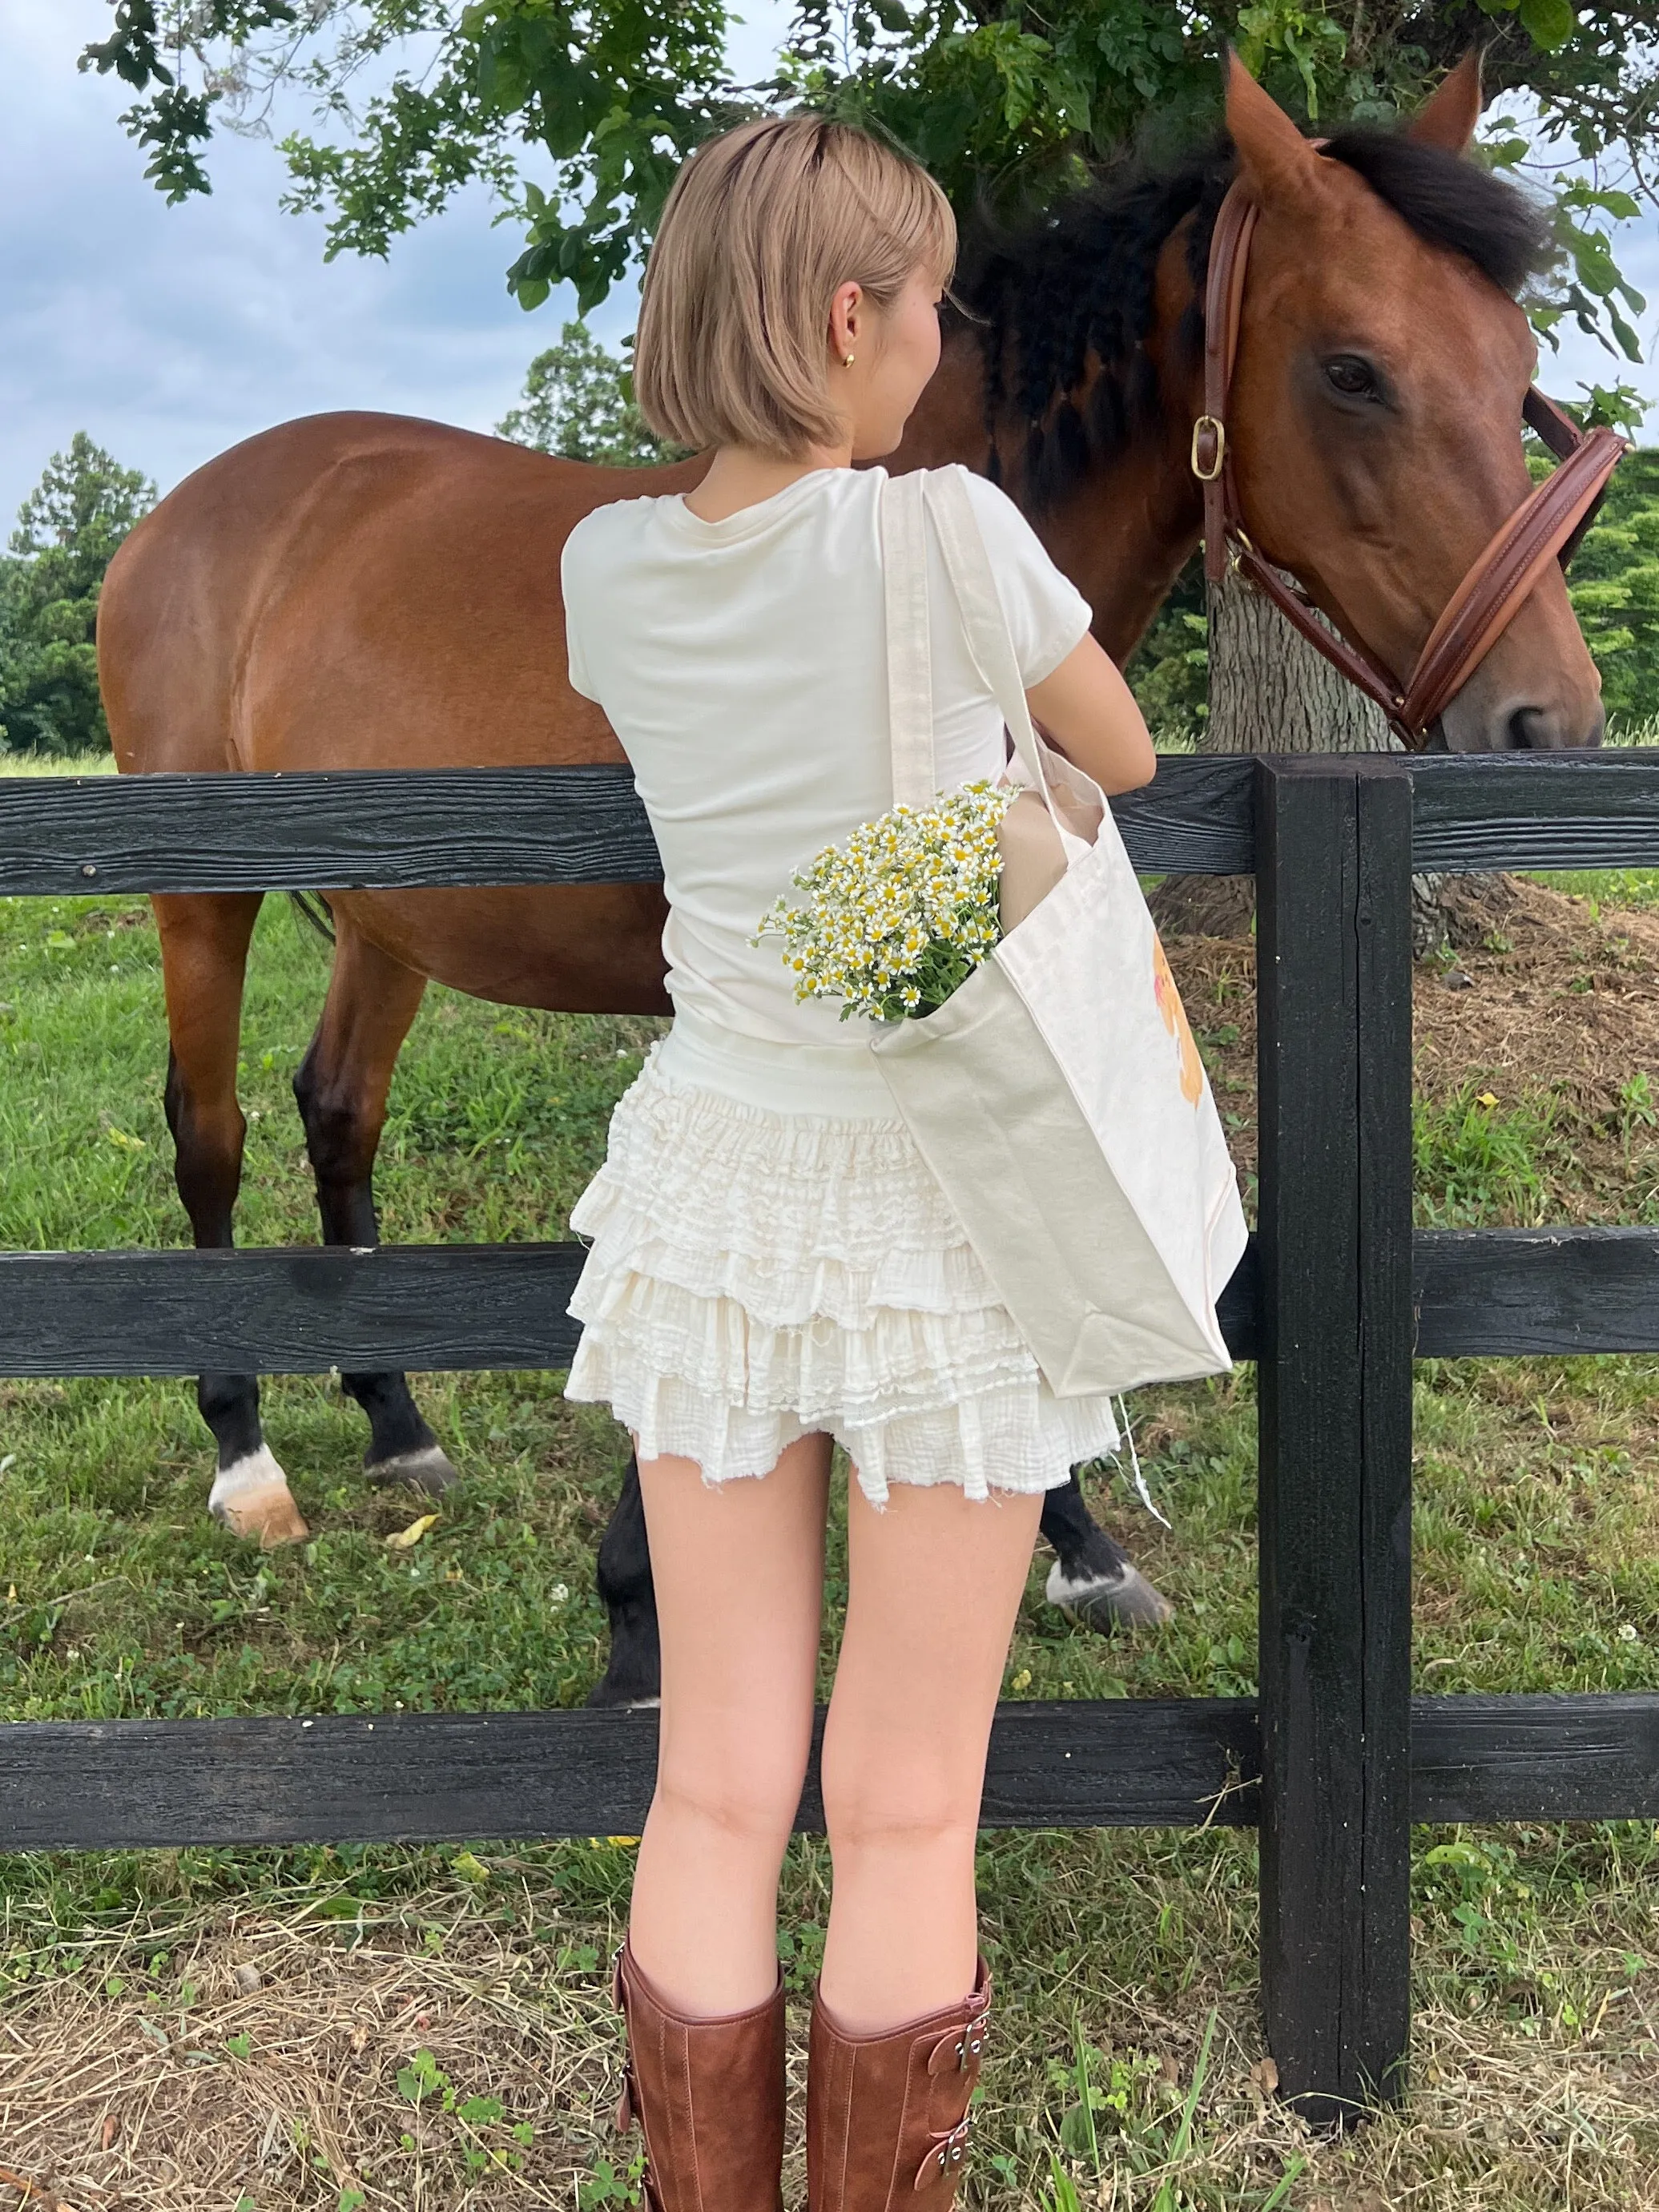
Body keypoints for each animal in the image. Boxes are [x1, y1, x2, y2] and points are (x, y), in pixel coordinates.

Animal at [100, 56, 1601, 1707]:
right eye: (1351, 370)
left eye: (1514, 360)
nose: (1550, 723)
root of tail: (199, 508)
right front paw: (647, 1613)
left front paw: (1077, 1546)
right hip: (204, 903)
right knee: (212, 1133)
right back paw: (245, 1458)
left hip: (389, 918)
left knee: (337, 1112)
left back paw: (397, 1421)